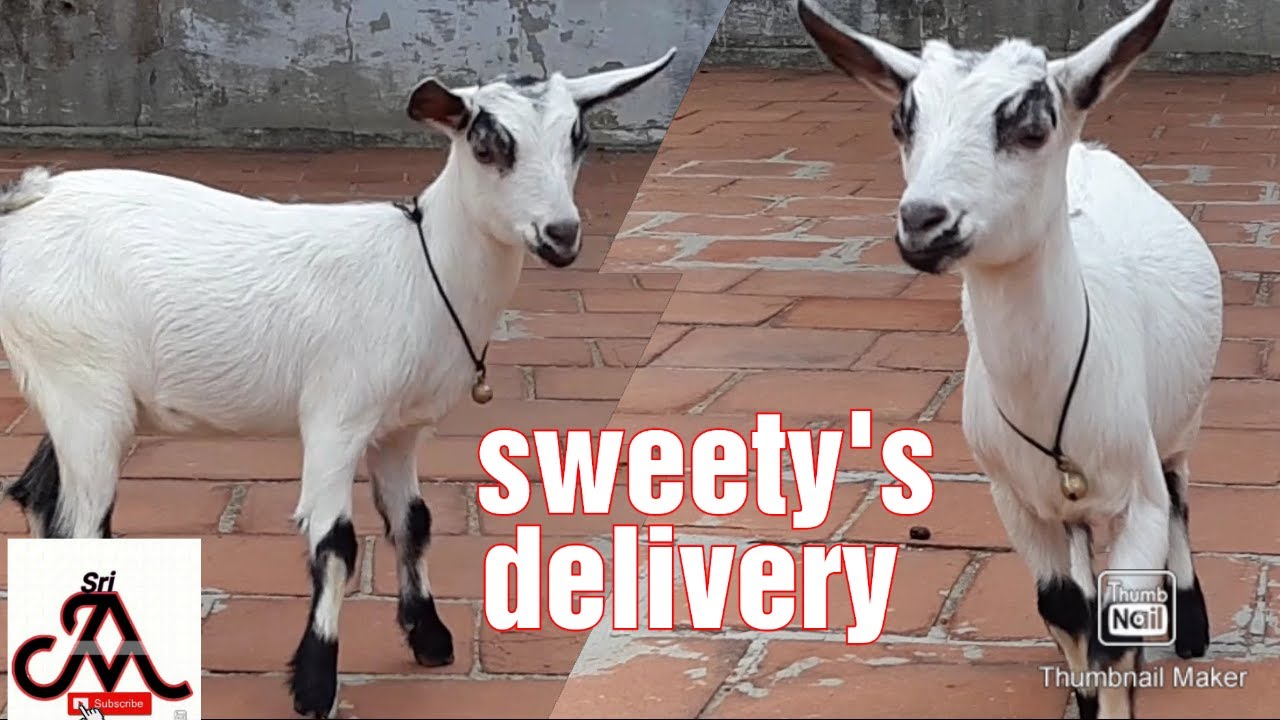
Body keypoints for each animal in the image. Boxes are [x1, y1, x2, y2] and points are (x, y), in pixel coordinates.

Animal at [0, 49, 677, 718]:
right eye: (487, 146)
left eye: (579, 139)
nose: (561, 235)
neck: (422, 266)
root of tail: (28, 200)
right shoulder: (336, 417)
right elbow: (335, 542)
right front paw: (315, 684)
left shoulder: (400, 430)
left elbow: (414, 521)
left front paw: (430, 638)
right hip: (85, 390)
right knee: (81, 524)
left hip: (87, 392)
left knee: (38, 495)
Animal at [797, 0, 1222, 717]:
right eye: (901, 123)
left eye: (1031, 127)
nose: (924, 221)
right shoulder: (1014, 500)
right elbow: (1065, 608)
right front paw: (1085, 697)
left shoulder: (1136, 493)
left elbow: (1116, 622)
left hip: (1178, 425)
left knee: (1180, 493)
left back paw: (1190, 628)